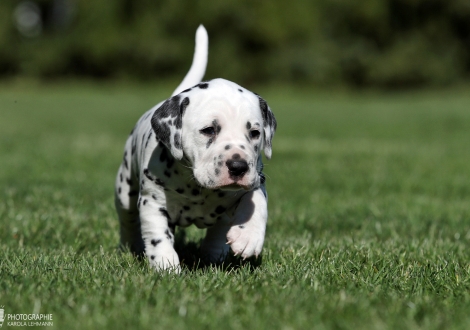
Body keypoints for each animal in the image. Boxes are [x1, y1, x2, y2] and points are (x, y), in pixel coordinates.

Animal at [114, 25, 276, 274]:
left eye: (255, 133)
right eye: (209, 130)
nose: (238, 166)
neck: (197, 187)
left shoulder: (256, 178)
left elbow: (256, 200)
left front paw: (248, 236)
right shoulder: (153, 201)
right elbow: (158, 236)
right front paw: (165, 265)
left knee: (218, 232)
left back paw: (214, 255)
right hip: (124, 191)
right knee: (128, 221)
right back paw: (130, 245)